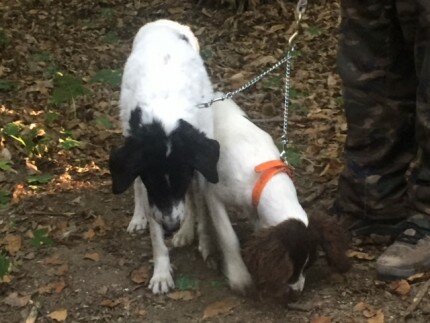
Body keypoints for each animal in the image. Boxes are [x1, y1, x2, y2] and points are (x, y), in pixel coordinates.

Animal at [109, 19, 220, 294]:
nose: (171, 227)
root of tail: (161, 22)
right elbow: (154, 231)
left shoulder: (200, 165)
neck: (165, 119)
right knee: (135, 186)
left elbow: (199, 206)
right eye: (154, 184)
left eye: (180, 181)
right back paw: (138, 218)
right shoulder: (147, 180)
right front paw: (160, 272)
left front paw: (204, 243)